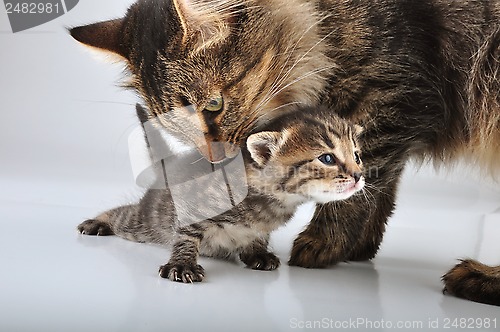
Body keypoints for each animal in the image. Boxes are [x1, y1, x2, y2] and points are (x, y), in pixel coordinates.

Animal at [80, 107, 366, 282]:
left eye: (357, 156)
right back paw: (97, 222)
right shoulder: (192, 206)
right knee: (124, 215)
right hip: (149, 221)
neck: (273, 201)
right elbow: (186, 235)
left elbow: (257, 237)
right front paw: (182, 264)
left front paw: (257, 252)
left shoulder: (262, 226)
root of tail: (169, 167)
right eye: (327, 158)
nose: (358, 175)